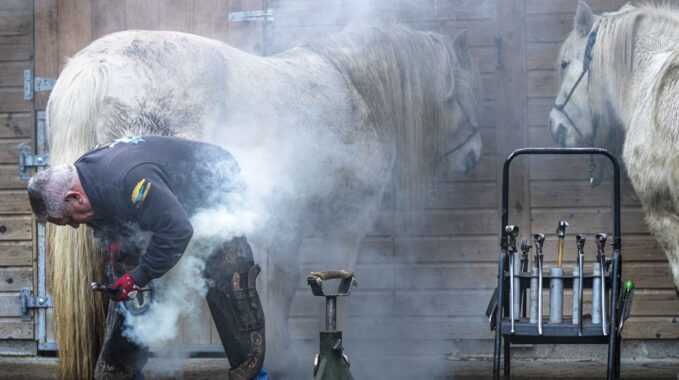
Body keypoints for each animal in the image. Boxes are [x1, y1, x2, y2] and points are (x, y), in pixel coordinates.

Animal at [46, 23, 484, 378]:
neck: (353, 89)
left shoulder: (287, 220)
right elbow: (315, 277)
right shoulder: (351, 216)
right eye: (462, 94)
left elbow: (281, 280)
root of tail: (96, 64)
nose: (474, 156)